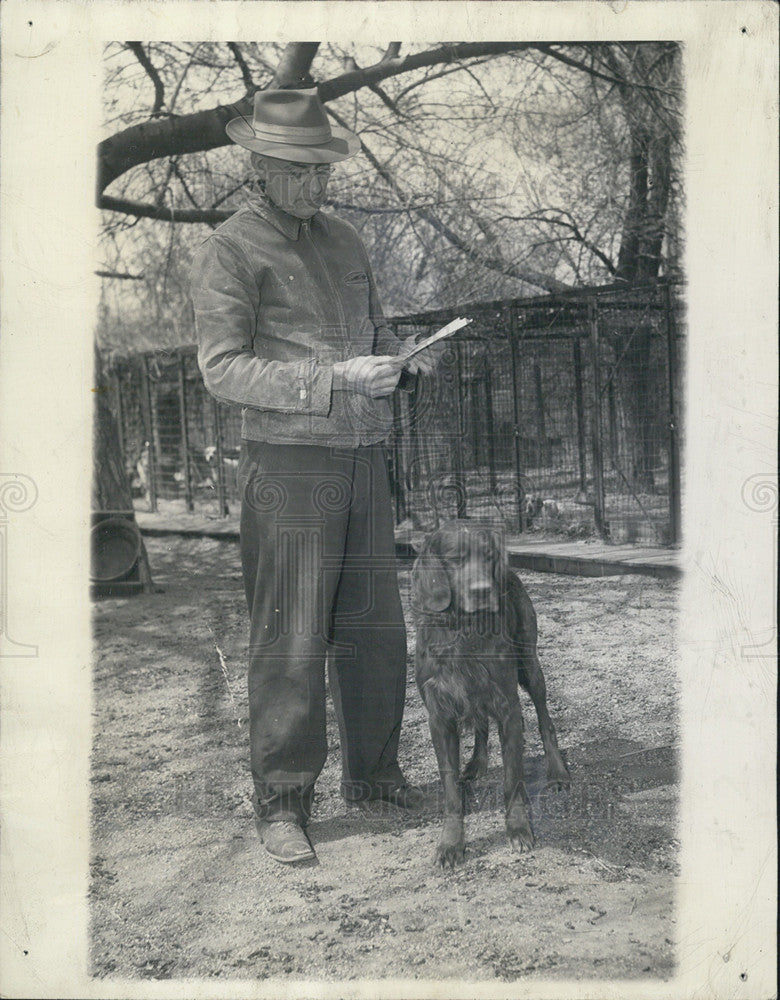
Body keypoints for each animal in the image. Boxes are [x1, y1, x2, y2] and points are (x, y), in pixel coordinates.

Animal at [412, 524, 568, 868]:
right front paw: (451, 843)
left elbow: (512, 779)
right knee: (481, 723)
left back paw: (557, 771)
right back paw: (477, 763)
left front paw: (519, 829)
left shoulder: (508, 707)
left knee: (545, 719)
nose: (483, 590)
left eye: (488, 556)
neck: (464, 629)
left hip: (529, 665)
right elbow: (450, 788)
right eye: (456, 558)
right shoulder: (439, 715)